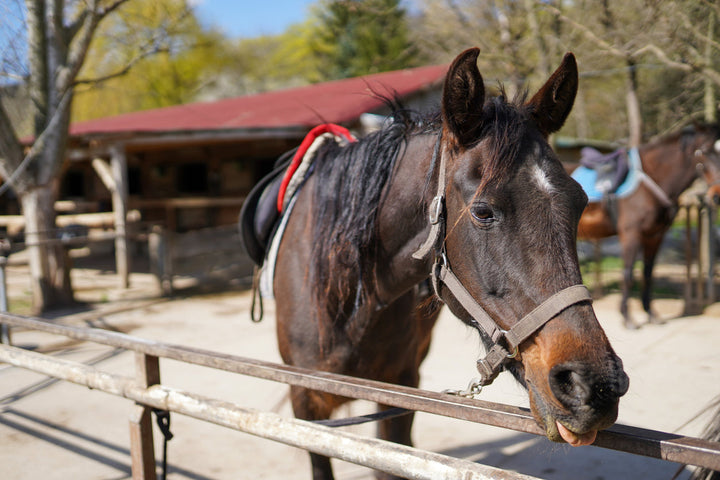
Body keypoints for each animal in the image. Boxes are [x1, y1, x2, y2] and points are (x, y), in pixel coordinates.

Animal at [269, 49, 629, 480]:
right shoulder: (304, 402)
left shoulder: (400, 391)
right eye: (482, 212)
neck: (349, 299)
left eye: (580, 204)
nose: (596, 385)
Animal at [575, 124, 720, 329]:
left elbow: (648, 273)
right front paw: (627, 317)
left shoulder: (655, 236)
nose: (717, 195)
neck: (650, 182)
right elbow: (628, 274)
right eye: (706, 151)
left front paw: (651, 313)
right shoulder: (631, 233)